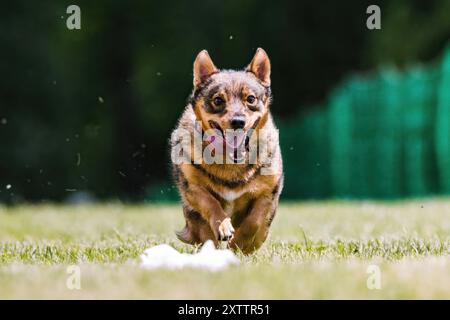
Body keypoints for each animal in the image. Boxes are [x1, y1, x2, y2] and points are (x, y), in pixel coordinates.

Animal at [171, 48, 284, 252]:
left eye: (251, 99)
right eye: (218, 100)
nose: (238, 122)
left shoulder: (268, 192)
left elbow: (255, 222)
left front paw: (240, 244)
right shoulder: (193, 187)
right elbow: (211, 203)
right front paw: (223, 227)